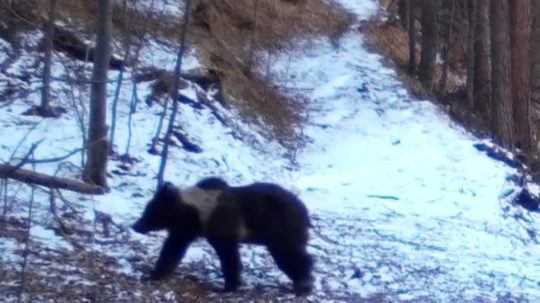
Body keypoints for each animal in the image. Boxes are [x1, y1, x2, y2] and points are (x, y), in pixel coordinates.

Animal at [131, 177, 314, 296]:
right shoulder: (187, 229)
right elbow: (173, 248)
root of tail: (305, 210)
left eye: (150, 210)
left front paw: (227, 286)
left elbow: (229, 256)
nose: (136, 225)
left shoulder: (222, 226)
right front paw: (155, 272)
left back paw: (303, 284)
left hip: (280, 228)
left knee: (290, 254)